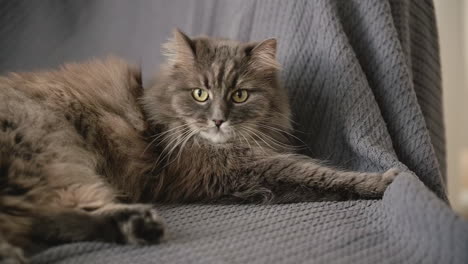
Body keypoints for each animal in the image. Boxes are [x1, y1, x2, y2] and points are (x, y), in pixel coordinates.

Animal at [0, 29, 398, 262]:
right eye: (200, 94)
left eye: (239, 95)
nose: (218, 120)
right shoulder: (233, 169)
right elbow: (315, 174)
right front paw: (384, 181)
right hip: (48, 147)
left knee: (46, 220)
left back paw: (136, 227)